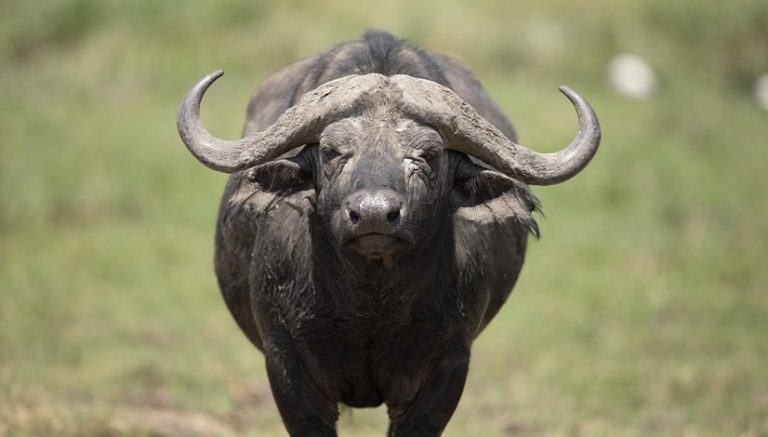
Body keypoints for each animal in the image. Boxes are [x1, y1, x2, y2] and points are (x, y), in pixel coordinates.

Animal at [177, 30, 600, 436]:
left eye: (427, 154)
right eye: (332, 151)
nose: (373, 214)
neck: (370, 303)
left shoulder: (448, 364)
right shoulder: (284, 359)